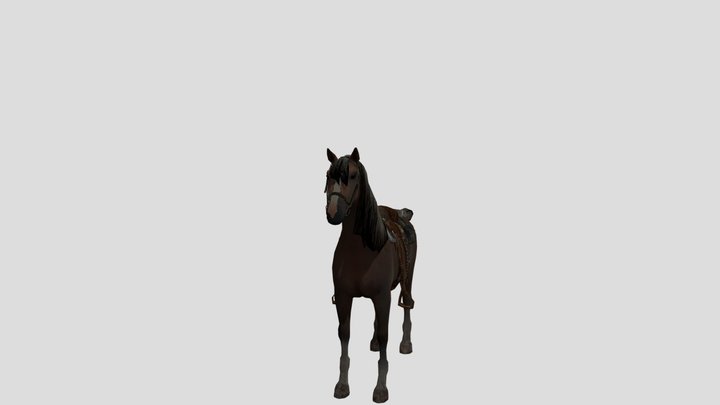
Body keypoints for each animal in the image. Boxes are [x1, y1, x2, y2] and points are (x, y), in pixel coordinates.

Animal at [324, 147, 417, 403]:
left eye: (353, 176)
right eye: (328, 175)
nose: (334, 213)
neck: (362, 250)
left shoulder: (383, 296)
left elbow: (386, 335)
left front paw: (381, 389)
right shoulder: (343, 297)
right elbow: (344, 334)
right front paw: (342, 386)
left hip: (408, 280)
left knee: (407, 305)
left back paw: (406, 344)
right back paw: (374, 342)